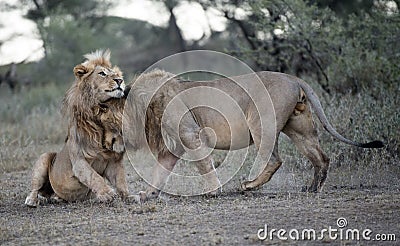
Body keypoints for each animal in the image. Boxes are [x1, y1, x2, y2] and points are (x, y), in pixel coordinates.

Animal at [24, 49, 128, 207]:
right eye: (102, 73)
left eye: (115, 73)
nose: (120, 80)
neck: (98, 113)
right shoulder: (79, 161)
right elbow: (94, 177)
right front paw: (107, 193)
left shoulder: (113, 160)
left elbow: (121, 180)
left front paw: (129, 196)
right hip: (44, 157)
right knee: (36, 188)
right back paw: (32, 200)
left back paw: (57, 198)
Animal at [122, 69, 384, 200]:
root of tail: (293, 77)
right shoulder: (174, 145)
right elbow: (160, 171)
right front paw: (147, 194)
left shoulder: (190, 134)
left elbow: (204, 166)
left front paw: (213, 191)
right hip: (300, 128)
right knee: (321, 158)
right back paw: (312, 190)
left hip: (260, 123)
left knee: (275, 160)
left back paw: (248, 186)